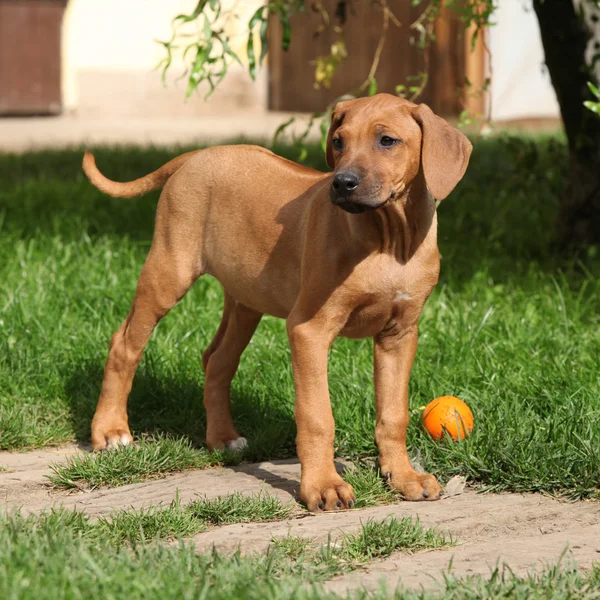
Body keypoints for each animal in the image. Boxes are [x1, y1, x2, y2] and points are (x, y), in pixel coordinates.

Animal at [82, 92, 472, 510]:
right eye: (339, 142)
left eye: (387, 141)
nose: (342, 183)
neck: (389, 238)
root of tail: (198, 154)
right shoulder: (309, 329)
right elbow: (317, 416)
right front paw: (323, 486)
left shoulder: (399, 335)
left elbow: (393, 414)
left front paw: (402, 477)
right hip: (168, 271)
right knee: (125, 344)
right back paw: (111, 431)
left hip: (246, 299)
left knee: (217, 359)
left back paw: (222, 438)